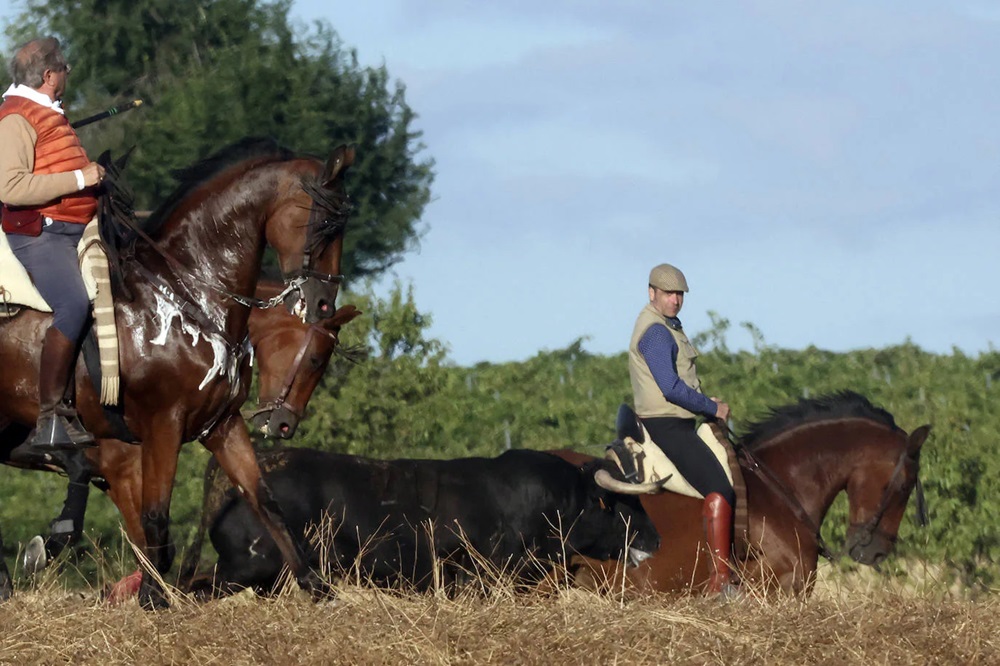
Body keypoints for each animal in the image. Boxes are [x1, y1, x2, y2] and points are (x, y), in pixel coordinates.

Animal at [0, 137, 356, 604]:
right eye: (325, 224)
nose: (322, 304)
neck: (188, 295)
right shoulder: (157, 431)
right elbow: (155, 518)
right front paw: (153, 597)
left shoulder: (221, 425)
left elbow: (264, 499)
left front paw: (316, 585)